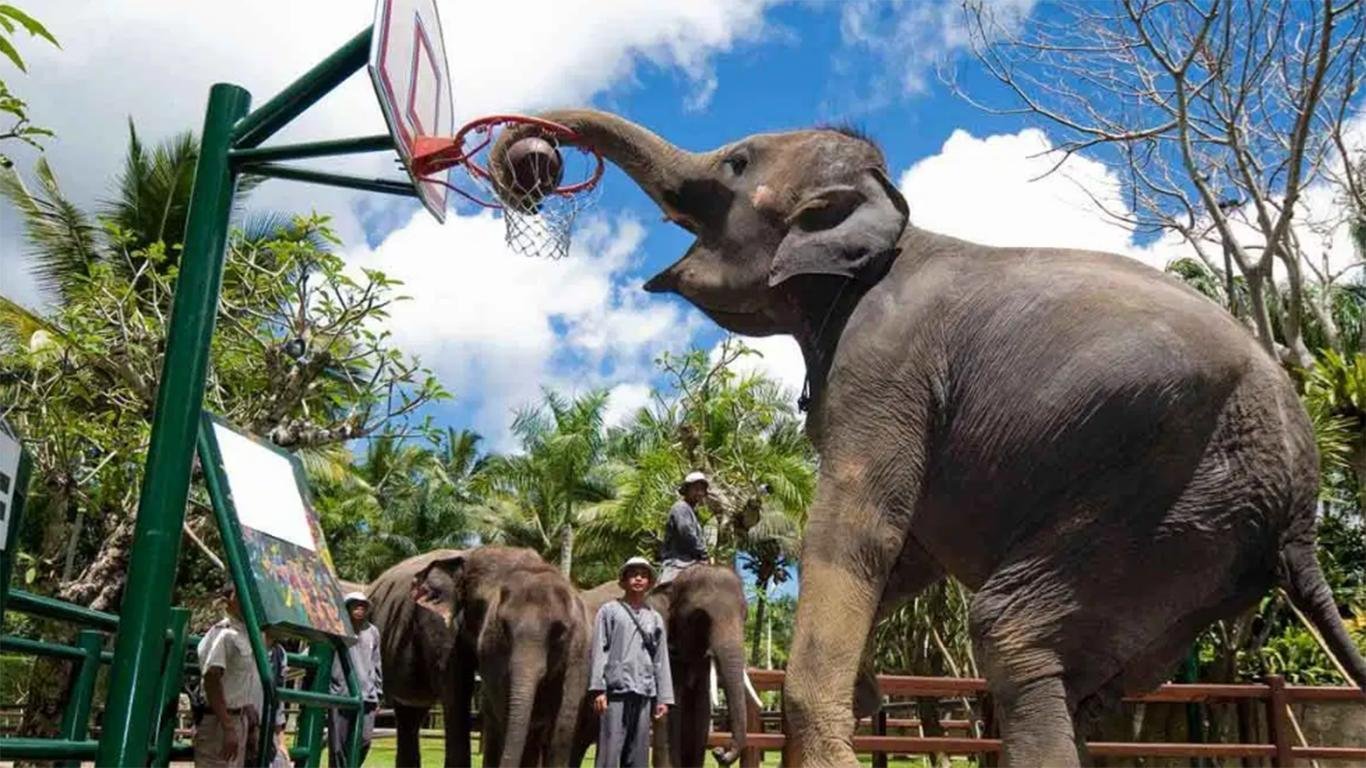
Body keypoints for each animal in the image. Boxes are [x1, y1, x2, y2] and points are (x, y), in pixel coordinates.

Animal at [366, 546, 590, 767]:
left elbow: (564, 718)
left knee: (410, 714)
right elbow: (458, 693)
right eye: (481, 604)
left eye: (560, 632)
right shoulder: (439, 628)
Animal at [572, 564, 749, 768]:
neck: (673, 582)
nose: (720, 752)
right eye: (701, 618)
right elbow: (670, 713)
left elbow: (701, 712)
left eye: (745, 616)